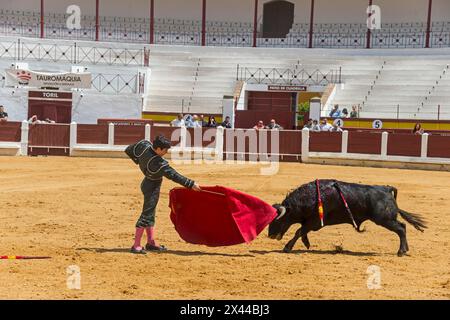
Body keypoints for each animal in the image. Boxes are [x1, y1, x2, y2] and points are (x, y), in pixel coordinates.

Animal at [268, 180, 428, 258]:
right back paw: (405, 250)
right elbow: (302, 231)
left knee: (401, 228)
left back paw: (401, 251)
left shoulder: (315, 222)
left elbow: (299, 231)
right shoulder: (311, 222)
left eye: (277, 220)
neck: (309, 198)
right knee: (403, 227)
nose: (270, 235)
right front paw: (306, 243)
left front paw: (287, 248)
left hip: (384, 219)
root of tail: (386, 189)